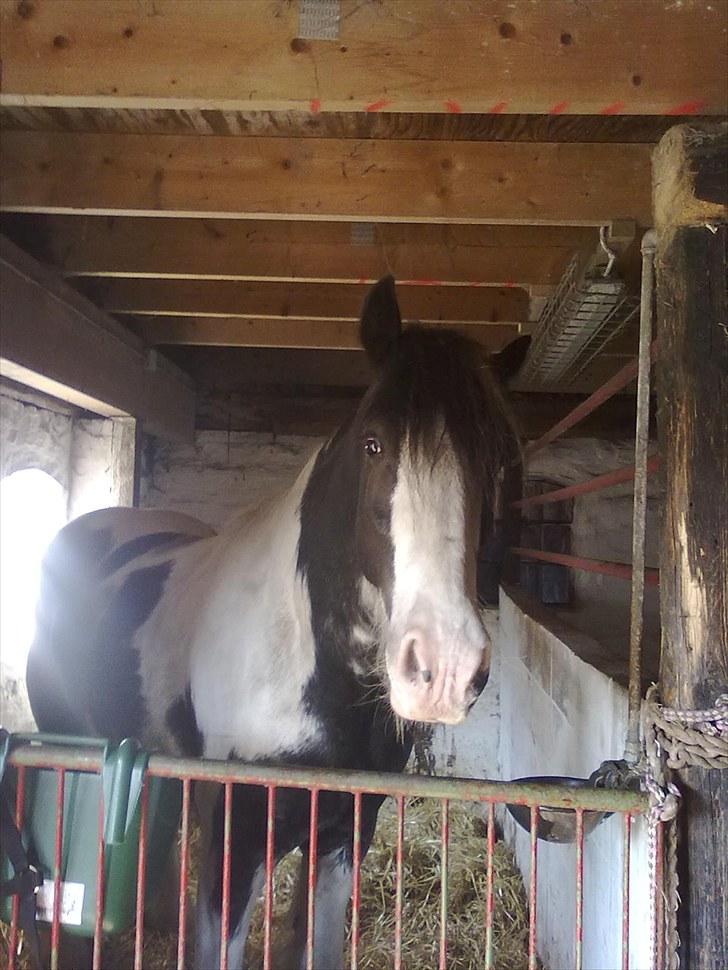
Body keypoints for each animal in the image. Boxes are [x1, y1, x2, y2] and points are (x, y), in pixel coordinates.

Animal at [27, 274, 528, 968]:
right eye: (374, 443)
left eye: (495, 461)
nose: (444, 667)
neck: (305, 664)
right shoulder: (237, 845)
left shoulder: (344, 834)